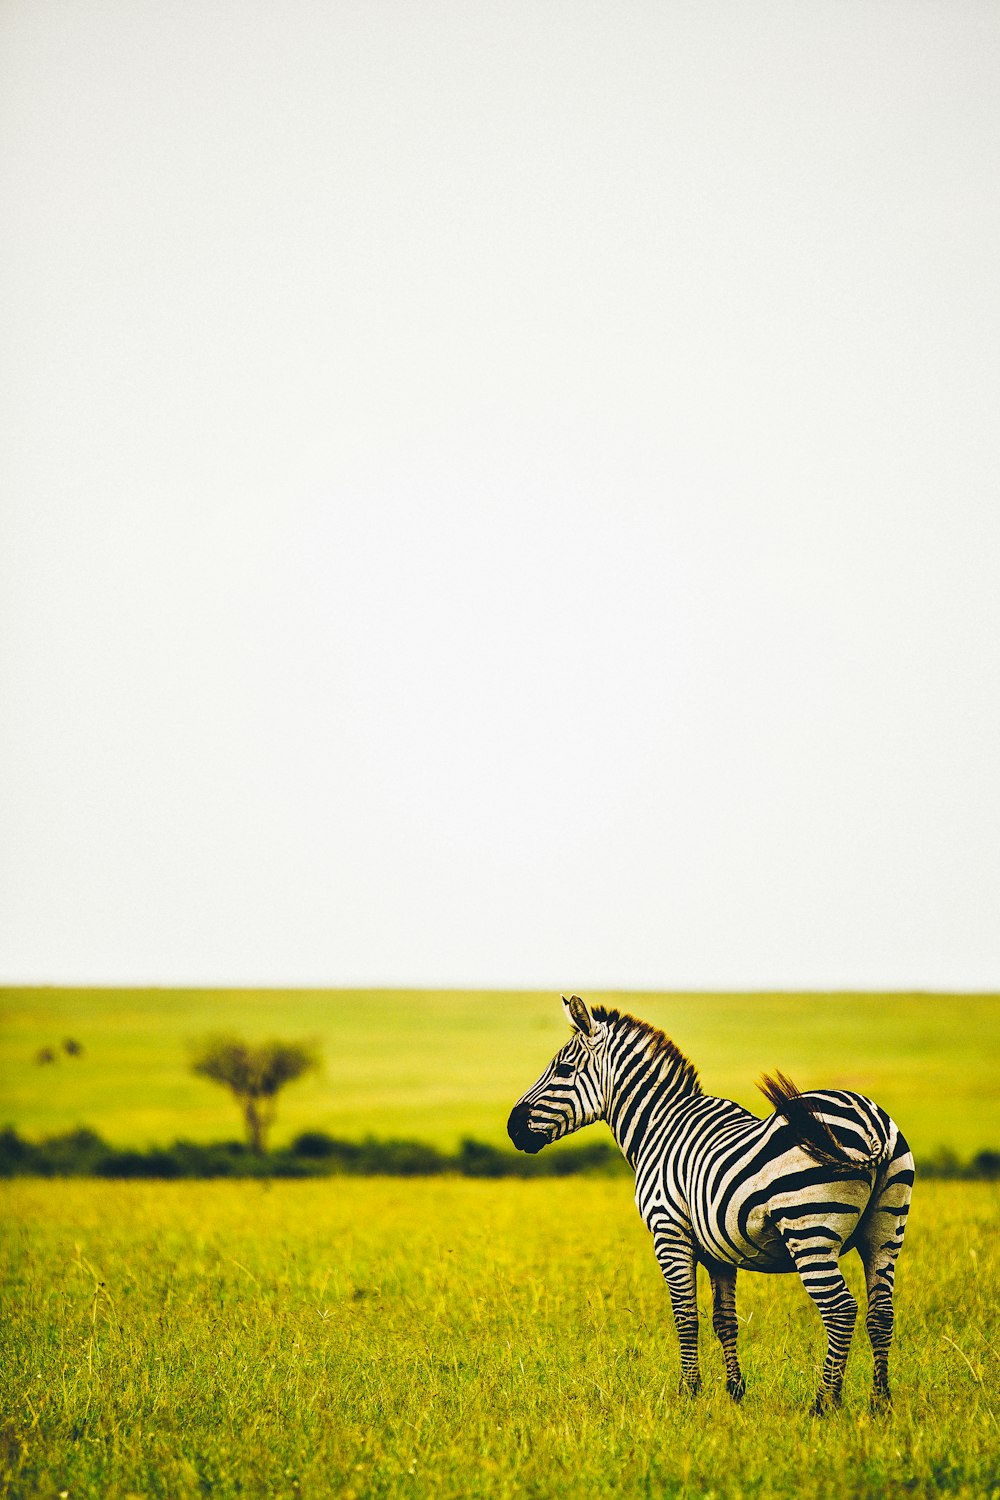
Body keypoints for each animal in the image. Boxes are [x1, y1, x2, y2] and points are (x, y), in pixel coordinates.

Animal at [509, 996, 917, 1404]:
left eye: (563, 1069)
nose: (512, 1127)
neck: (657, 1126)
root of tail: (870, 1124)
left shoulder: (669, 1231)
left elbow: (686, 1316)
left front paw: (689, 1391)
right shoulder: (719, 1248)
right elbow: (725, 1320)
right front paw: (735, 1391)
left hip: (810, 1229)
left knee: (840, 1310)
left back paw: (824, 1402)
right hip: (885, 1229)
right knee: (881, 1313)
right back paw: (881, 1402)